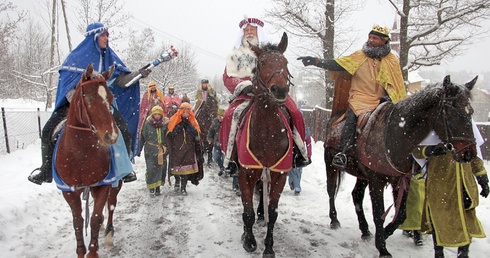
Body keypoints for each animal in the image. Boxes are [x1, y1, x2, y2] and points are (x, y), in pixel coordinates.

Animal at [55, 63, 119, 258]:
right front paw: (80, 250)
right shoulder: (68, 190)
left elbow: (96, 218)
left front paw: (93, 251)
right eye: (90, 98)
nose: (111, 136)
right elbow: (78, 220)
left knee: (111, 204)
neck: (81, 153)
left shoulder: (104, 184)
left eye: (111, 97)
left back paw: (108, 234)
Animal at [235, 32, 292, 258]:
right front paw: (249, 241)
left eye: (285, 62)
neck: (268, 131)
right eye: (263, 62)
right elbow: (247, 210)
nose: (280, 89)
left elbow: (273, 213)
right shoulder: (246, 171)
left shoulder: (279, 174)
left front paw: (268, 247)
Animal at [326, 75, 478, 256]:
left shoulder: (401, 180)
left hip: (362, 175)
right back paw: (334, 220)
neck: (396, 134)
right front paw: (382, 248)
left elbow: (402, 214)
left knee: (356, 195)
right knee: (331, 190)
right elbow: (378, 212)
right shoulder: (376, 180)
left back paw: (365, 230)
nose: (469, 154)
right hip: (331, 163)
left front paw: (384, 234)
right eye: (452, 113)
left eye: (471, 112)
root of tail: (335, 118)